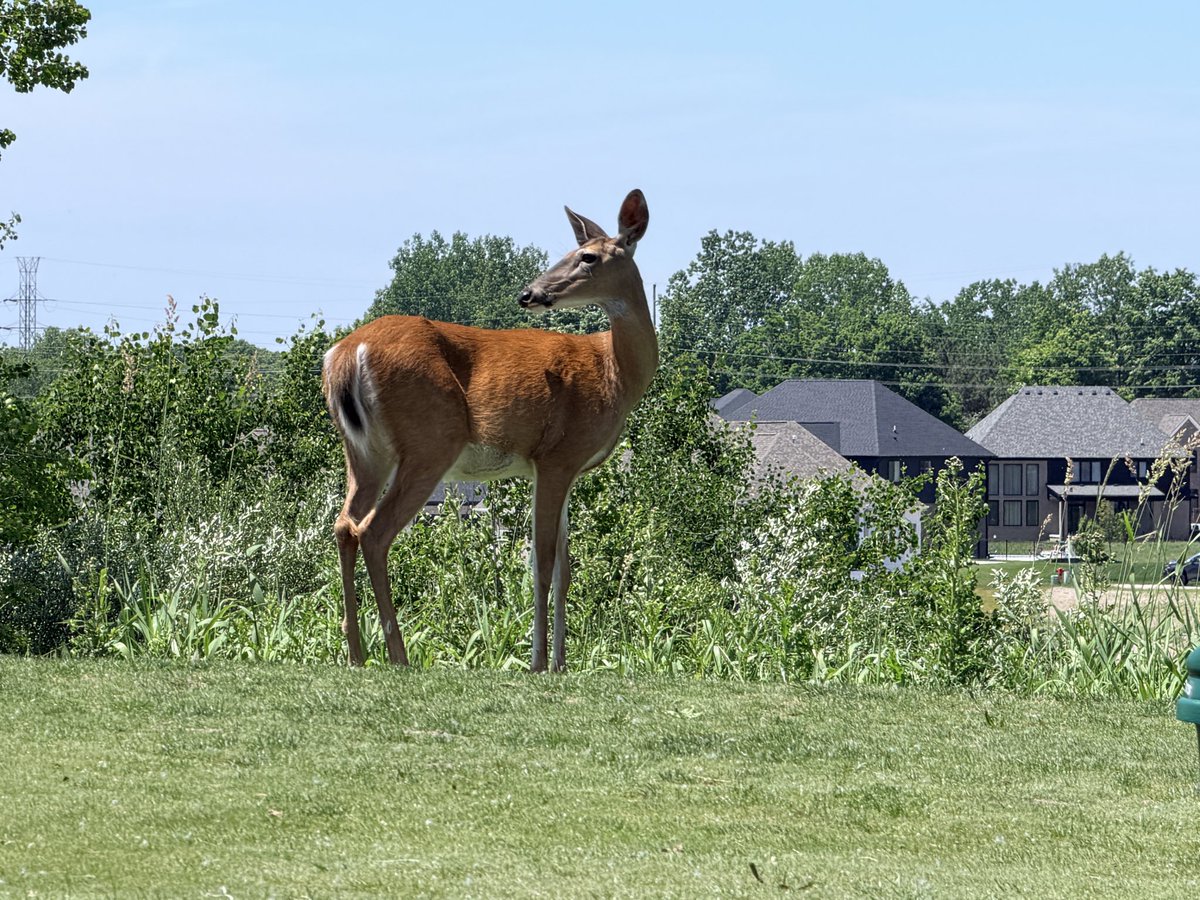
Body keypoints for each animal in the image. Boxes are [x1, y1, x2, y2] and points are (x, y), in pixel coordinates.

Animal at [322, 189, 656, 672]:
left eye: (587, 256)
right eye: (574, 253)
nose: (528, 294)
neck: (614, 372)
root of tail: (347, 354)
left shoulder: (563, 469)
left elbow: (565, 568)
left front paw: (561, 663)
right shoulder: (556, 456)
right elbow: (542, 563)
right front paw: (539, 663)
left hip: (365, 452)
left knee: (344, 525)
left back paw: (356, 652)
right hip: (430, 441)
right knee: (374, 531)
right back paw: (398, 655)